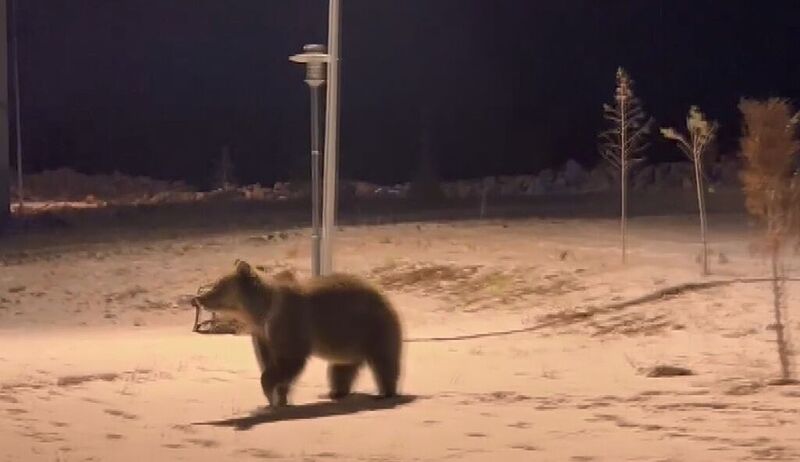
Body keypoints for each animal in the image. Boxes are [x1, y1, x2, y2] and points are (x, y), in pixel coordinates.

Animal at [193, 260, 404, 408]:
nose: (198, 297)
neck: (261, 313)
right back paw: (336, 392)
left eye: (218, 285)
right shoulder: (263, 334)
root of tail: (384, 295)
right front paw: (280, 399)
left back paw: (385, 392)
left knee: (384, 361)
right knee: (341, 368)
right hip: (348, 340)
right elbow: (269, 361)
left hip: (373, 326)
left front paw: (271, 395)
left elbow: (289, 360)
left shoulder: (289, 324)